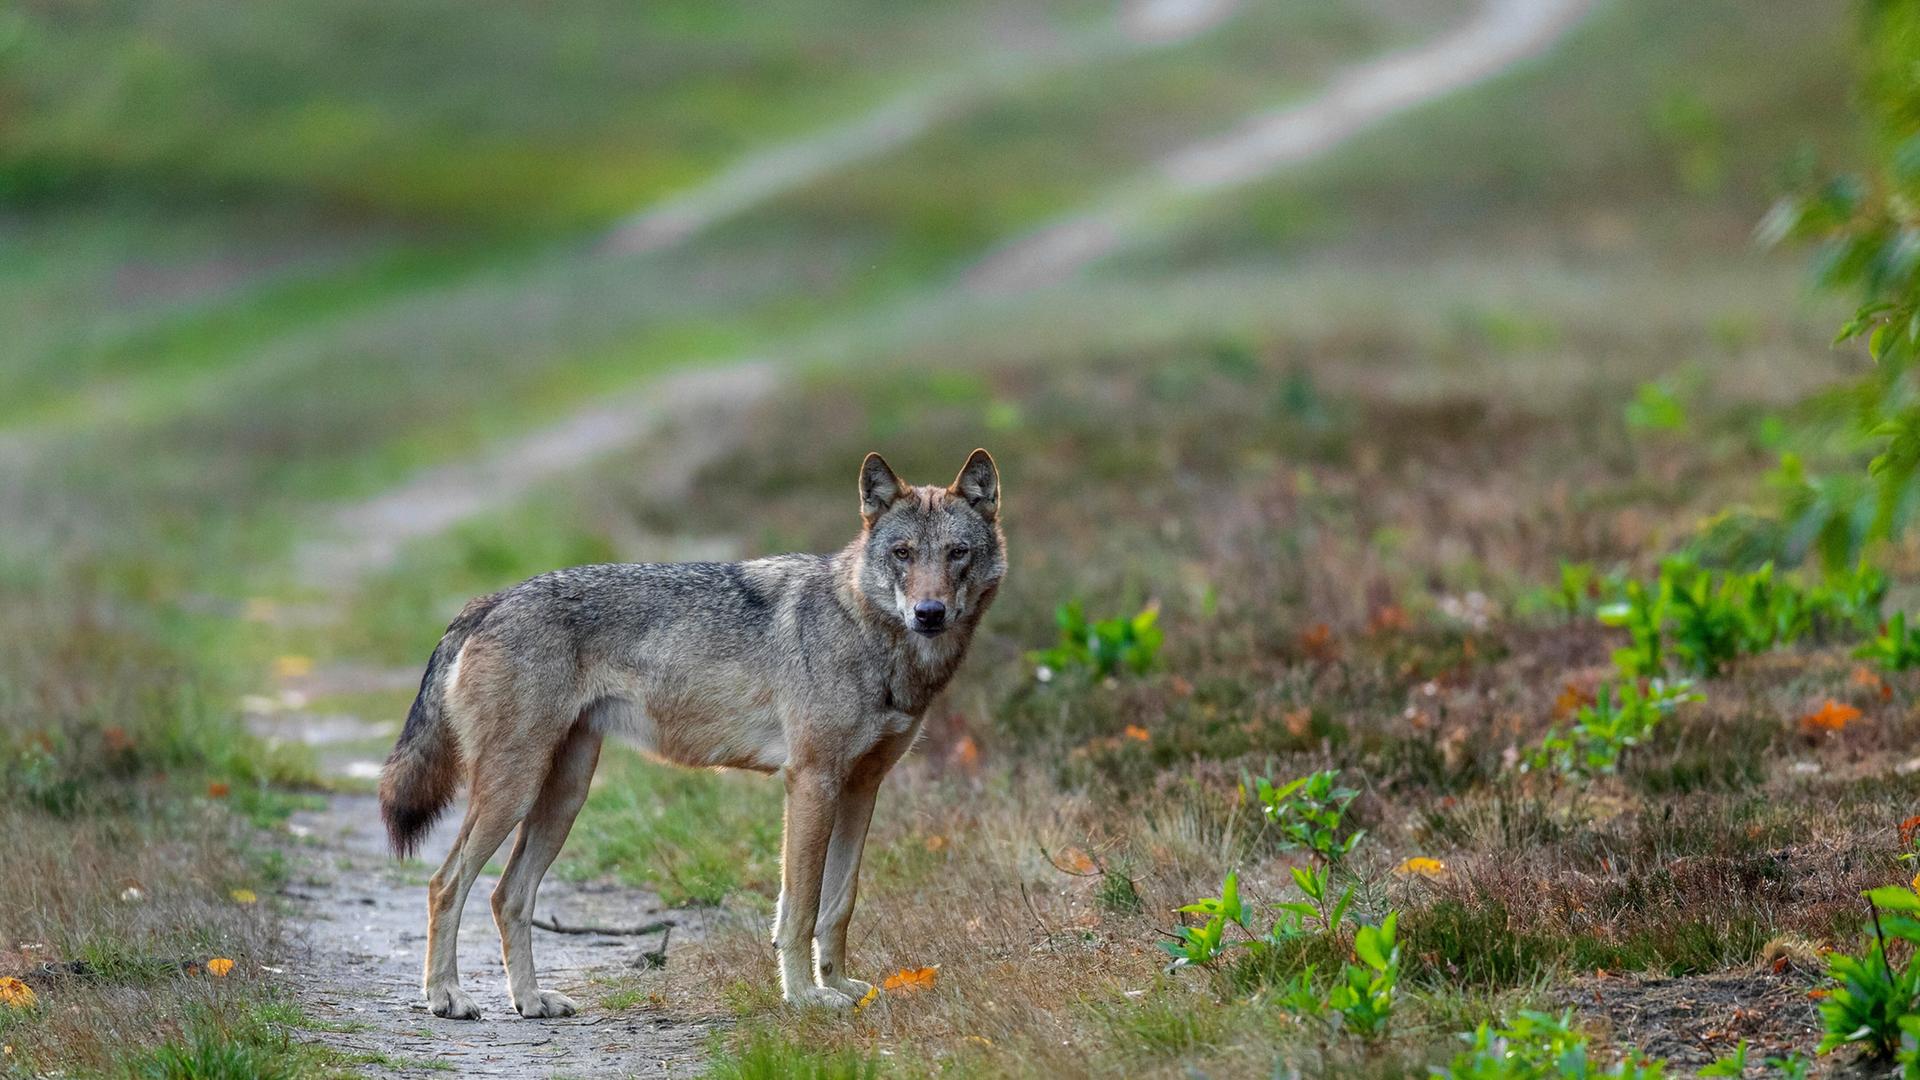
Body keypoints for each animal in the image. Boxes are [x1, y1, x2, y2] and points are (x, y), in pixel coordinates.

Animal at [377, 449, 1004, 1017]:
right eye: (903, 554)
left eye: (957, 553)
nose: (929, 612)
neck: (871, 634)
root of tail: (491, 600)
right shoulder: (811, 782)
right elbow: (799, 907)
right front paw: (805, 998)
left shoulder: (861, 787)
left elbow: (839, 903)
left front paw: (842, 987)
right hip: (514, 791)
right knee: (444, 883)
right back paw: (446, 997)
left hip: (564, 796)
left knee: (507, 894)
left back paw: (531, 1001)